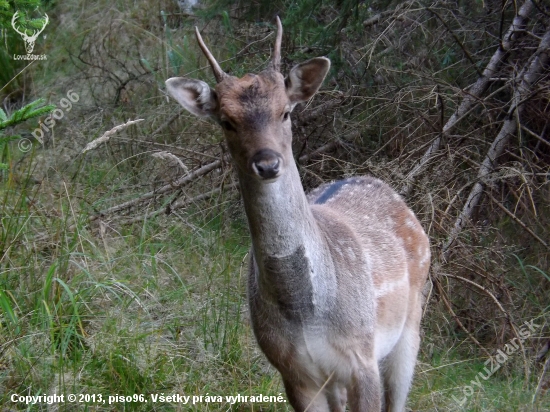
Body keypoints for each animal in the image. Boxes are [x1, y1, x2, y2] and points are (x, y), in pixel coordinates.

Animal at [166, 16, 434, 412]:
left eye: (286, 111)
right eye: (227, 120)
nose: (267, 163)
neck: (307, 316)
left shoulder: (362, 359)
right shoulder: (293, 372)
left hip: (411, 325)